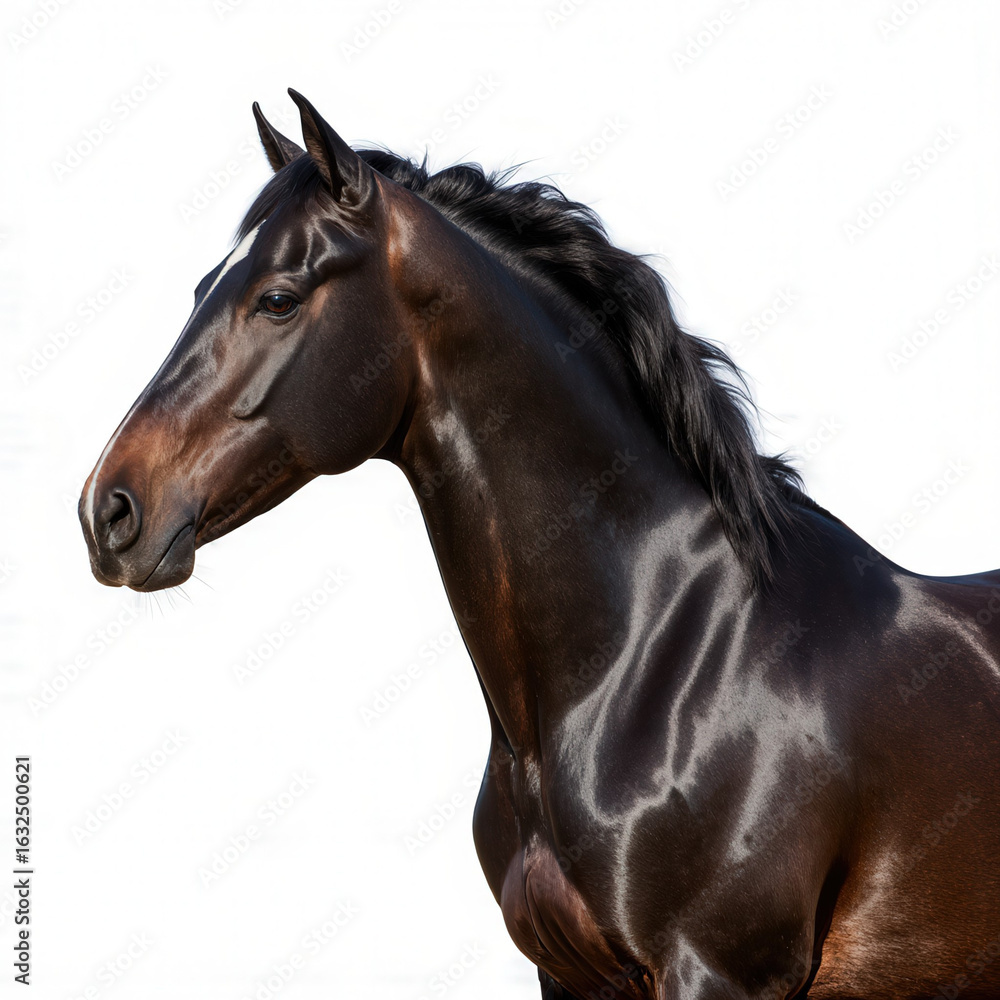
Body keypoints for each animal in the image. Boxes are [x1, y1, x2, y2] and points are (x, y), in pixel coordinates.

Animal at [79, 91, 1000, 1000]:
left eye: (277, 298)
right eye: (204, 285)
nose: (108, 512)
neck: (672, 660)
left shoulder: (718, 973)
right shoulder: (565, 975)